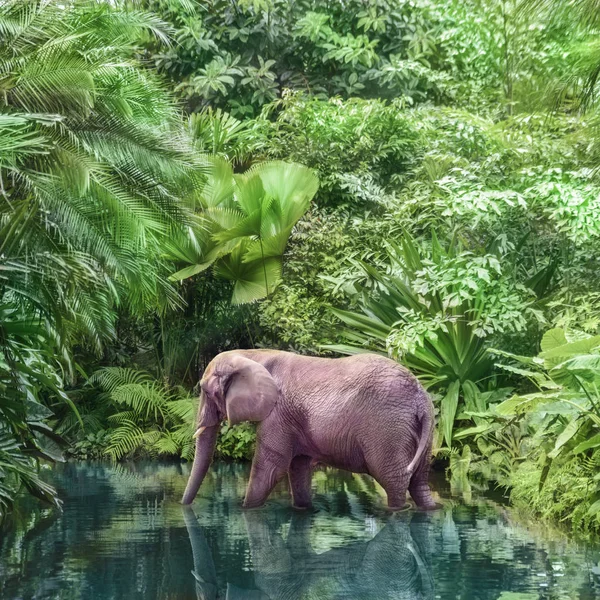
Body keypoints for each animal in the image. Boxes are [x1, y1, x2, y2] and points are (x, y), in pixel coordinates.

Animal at [180, 352, 434, 510]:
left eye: (206, 391)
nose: (184, 506)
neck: (250, 355)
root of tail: (421, 397)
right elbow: (298, 466)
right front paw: (302, 509)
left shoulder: (278, 413)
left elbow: (272, 466)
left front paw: (246, 510)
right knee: (419, 482)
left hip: (388, 429)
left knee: (393, 481)